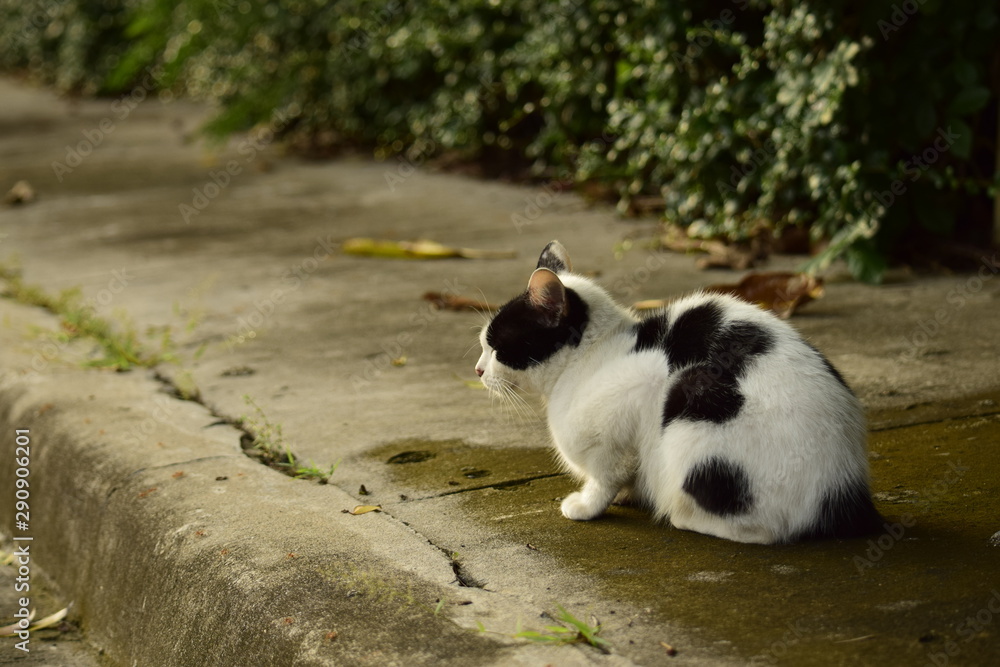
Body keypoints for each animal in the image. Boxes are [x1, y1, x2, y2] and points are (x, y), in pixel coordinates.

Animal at [472, 243, 880, 544]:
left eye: (496, 347)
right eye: (483, 345)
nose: (477, 370)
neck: (591, 358)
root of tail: (846, 492)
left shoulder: (630, 403)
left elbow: (606, 476)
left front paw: (587, 505)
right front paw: (628, 494)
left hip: (689, 397)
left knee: (765, 530)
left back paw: (682, 516)